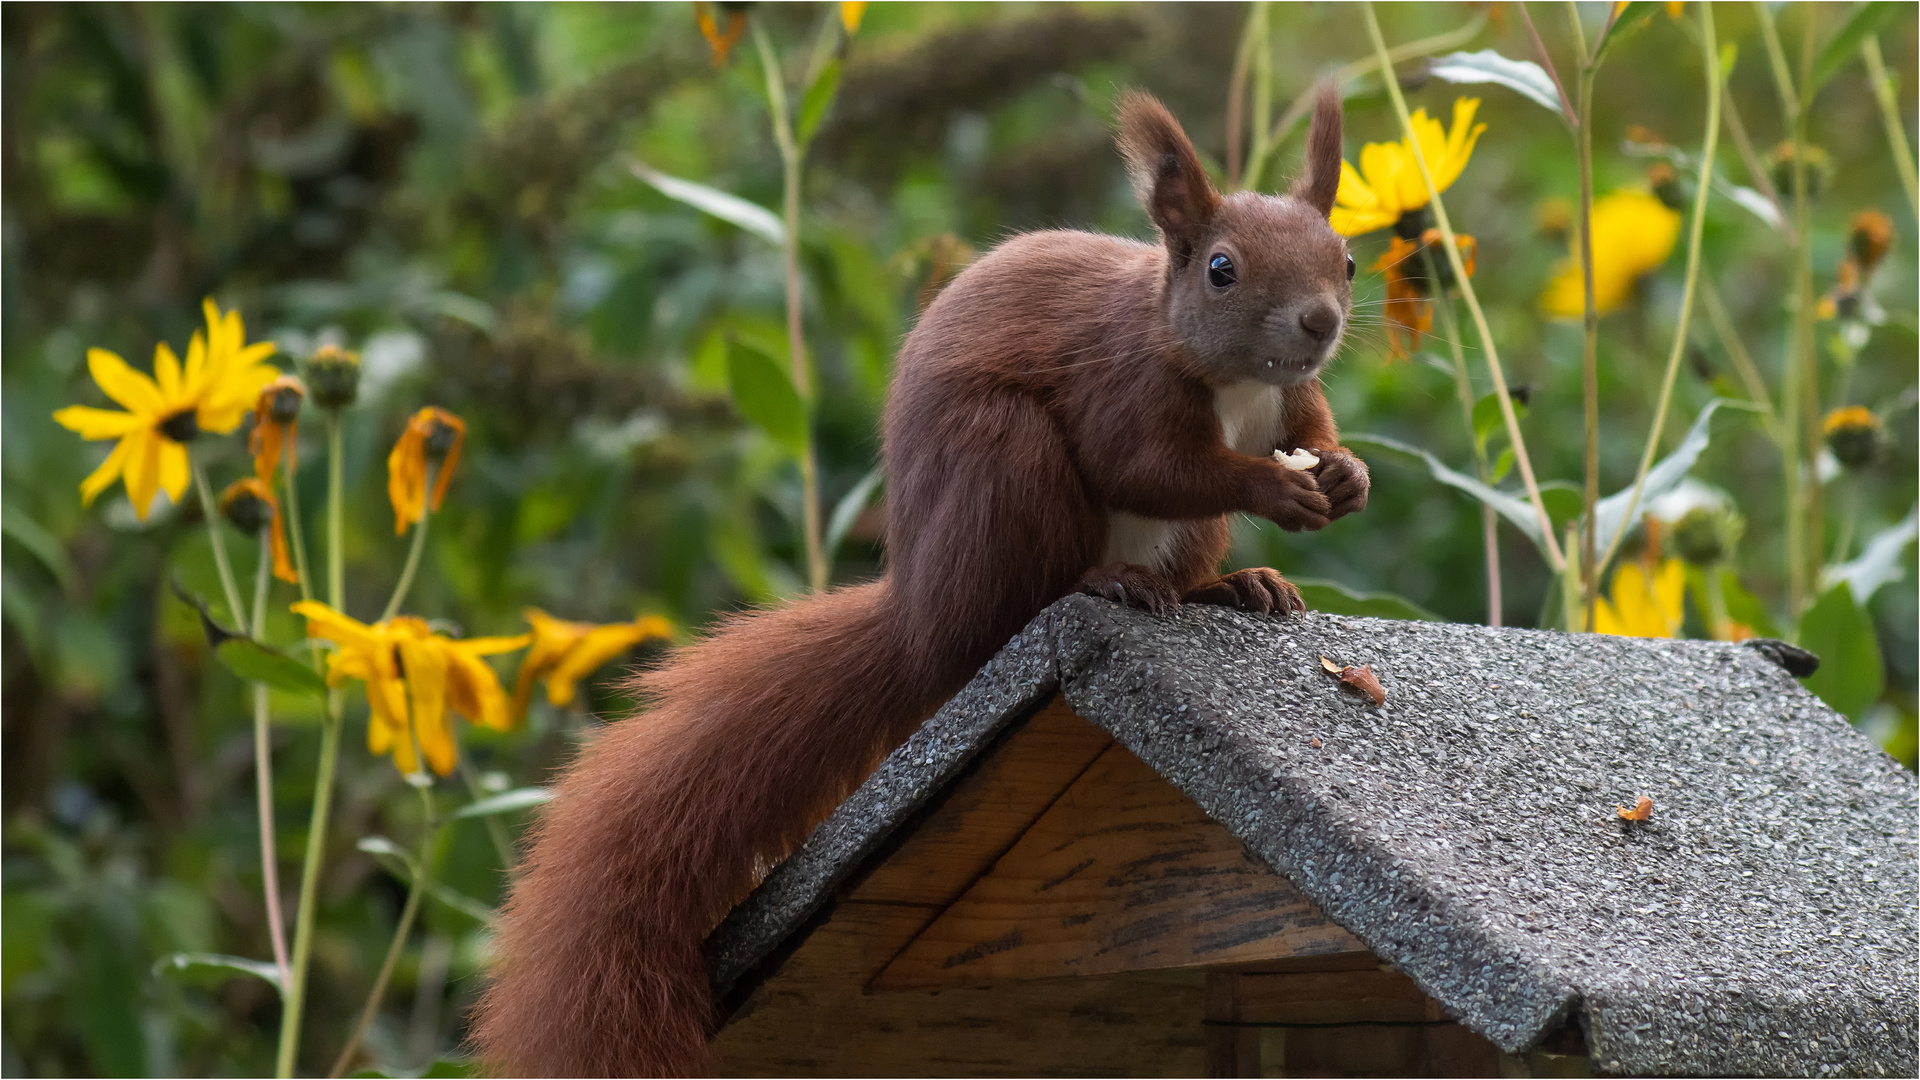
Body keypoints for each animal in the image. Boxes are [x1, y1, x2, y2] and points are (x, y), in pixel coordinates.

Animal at [464, 88, 1367, 1068]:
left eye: (1348, 259)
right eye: (1220, 270)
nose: (1319, 323)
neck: (1234, 381)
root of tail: (918, 616)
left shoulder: (1291, 398)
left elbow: (1309, 429)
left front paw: (1346, 474)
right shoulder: (1123, 384)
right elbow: (1146, 466)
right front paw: (1275, 487)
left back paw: (1231, 587)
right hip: (1002, 464)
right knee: (1012, 607)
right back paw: (1106, 583)